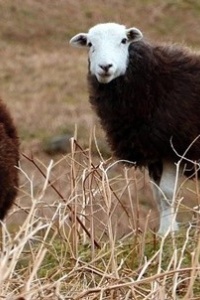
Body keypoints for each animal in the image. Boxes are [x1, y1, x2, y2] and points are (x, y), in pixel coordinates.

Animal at [70, 22, 200, 236]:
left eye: (124, 41)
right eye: (90, 44)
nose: (105, 67)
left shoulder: (172, 147)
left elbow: (166, 193)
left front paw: (168, 232)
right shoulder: (153, 151)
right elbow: (157, 194)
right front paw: (166, 229)